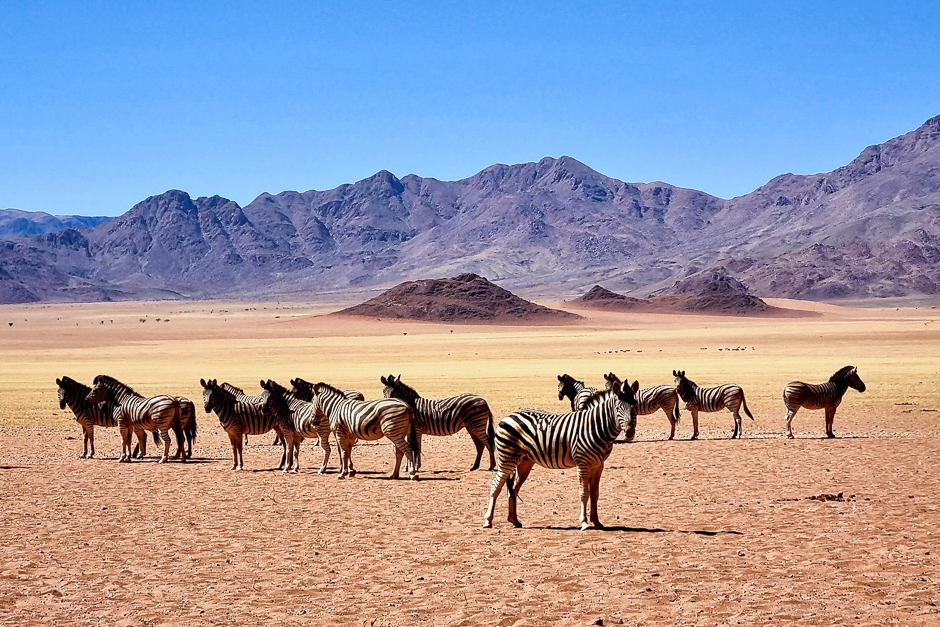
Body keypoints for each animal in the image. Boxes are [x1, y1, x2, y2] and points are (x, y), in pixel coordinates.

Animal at [484, 372, 640, 528]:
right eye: (618, 408)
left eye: (635, 407)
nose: (629, 433)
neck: (595, 427)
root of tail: (508, 416)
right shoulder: (582, 463)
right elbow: (584, 493)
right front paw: (584, 522)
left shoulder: (598, 464)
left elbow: (595, 494)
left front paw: (596, 521)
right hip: (507, 458)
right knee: (495, 485)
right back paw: (488, 520)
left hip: (524, 461)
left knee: (513, 489)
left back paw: (514, 520)